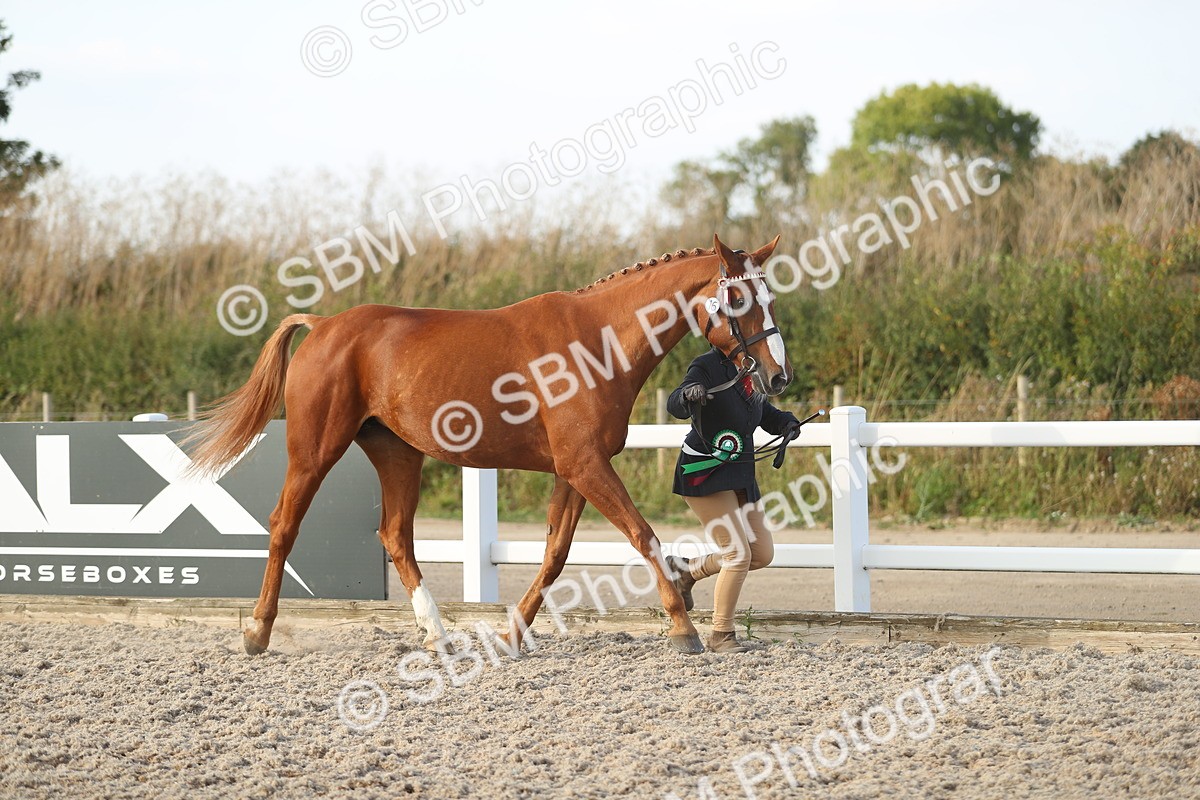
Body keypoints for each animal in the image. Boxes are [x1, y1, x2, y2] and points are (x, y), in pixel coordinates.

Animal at [187, 234, 792, 656]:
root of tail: (323, 324)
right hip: (315, 450)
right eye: (738, 298)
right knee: (284, 525)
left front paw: (512, 635)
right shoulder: (585, 465)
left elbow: (555, 555)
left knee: (396, 536)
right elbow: (643, 536)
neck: (595, 344)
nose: (777, 377)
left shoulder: (575, 469)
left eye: (771, 298)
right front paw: (683, 627)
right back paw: (257, 633)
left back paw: (436, 634)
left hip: (397, 453)